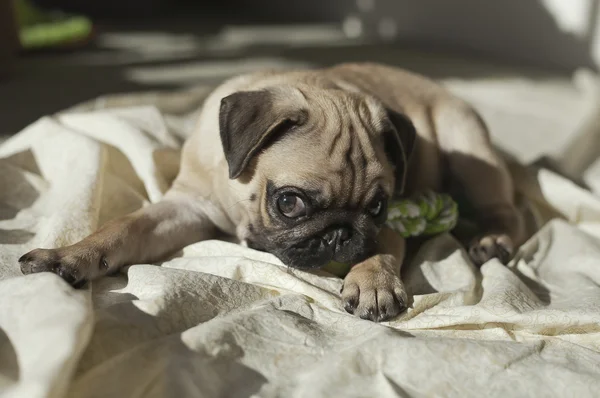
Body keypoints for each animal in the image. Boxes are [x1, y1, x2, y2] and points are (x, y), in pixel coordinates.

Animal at [19, 63, 524, 324]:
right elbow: (123, 228)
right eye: (289, 202)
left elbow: (380, 251)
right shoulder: (184, 207)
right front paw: (70, 256)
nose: (341, 234)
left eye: (378, 207)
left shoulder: (395, 221)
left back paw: (491, 239)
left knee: (507, 208)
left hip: (468, 148)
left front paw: (373, 283)